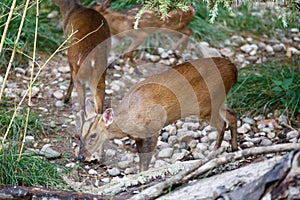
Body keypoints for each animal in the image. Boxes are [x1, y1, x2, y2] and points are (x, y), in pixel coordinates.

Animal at [77, 57, 239, 171]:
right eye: (80, 135)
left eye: (93, 135)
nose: (80, 156)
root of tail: (233, 69)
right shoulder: (139, 137)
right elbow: (141, 158)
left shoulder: (153, 130)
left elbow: (146, 159)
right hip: (218, 101)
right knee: (232, 114)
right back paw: (234, 148)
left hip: (208, 104)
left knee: (222, 124)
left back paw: (214, 153)